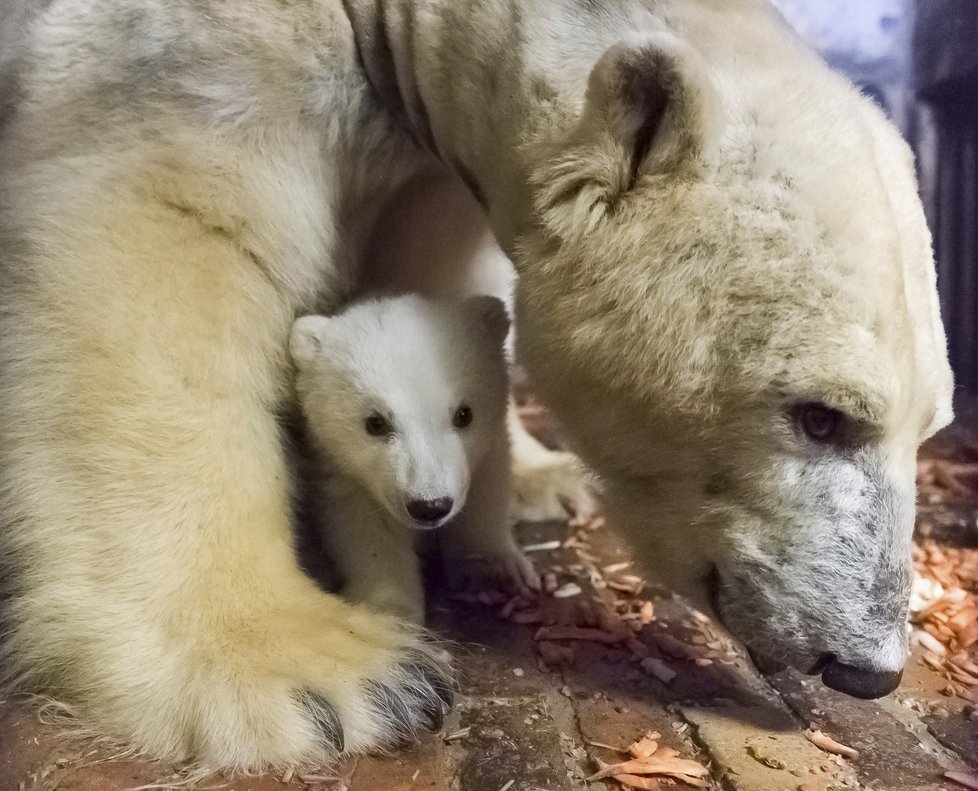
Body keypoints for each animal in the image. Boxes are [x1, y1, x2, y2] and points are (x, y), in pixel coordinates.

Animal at [0, 0, 948, 772]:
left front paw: (521, 478)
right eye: (822, 416)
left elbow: (443, 278)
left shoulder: (431, 167)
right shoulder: (188, 60)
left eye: (931, 428)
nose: (868, 669)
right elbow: (161, 231)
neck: (390, 20)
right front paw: (323, 668)